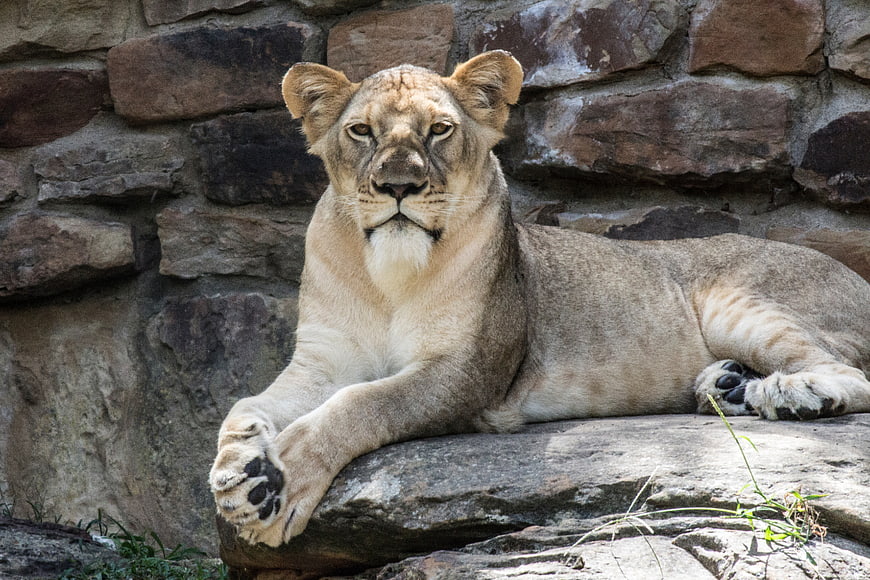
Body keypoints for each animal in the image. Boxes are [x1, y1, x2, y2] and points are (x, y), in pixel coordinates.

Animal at [210, 50, 870, 547]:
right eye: (361, 131)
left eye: (439, 130)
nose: (399, 186)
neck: (386, 274)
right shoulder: (321, 361)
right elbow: (249, 404)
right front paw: (240, 476)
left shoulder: (469, 372)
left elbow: (364, 403)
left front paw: (285, 476)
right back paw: (729, 385)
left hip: (734, 301)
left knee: (849, 373)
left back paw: (790, 394)